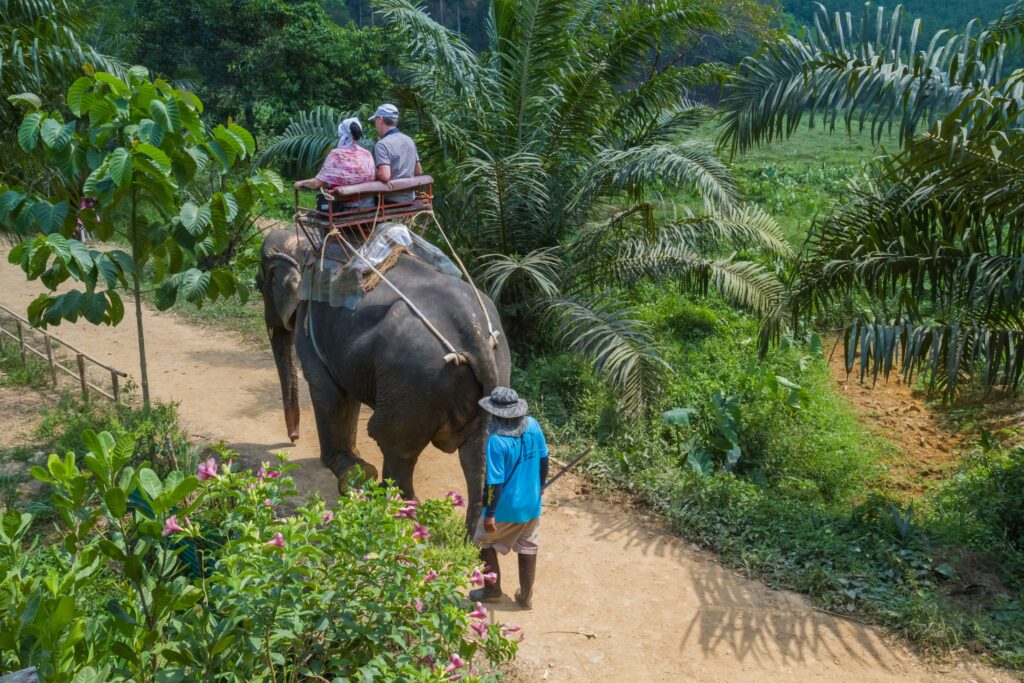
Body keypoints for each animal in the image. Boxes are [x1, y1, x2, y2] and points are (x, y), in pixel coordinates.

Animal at [256, 229, 512, 528]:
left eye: (259, 284)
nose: (292, 440)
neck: (308, 247)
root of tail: (475, 335)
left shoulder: (310, 326)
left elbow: (330, 394)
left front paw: (347, 470)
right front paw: (355, 466)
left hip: (413, 381)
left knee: (395, 445)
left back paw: (391, 509)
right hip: (494, 372)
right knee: (478, 453)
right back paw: (474, 538)